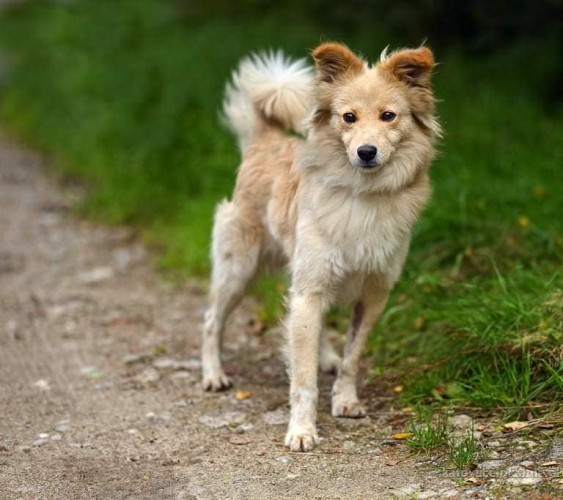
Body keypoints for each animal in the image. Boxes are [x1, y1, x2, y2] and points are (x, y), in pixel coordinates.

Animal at [200, 42, 442, 450]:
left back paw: (325, 355)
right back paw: (213, 374)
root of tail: (265, 139)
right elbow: (302, 377)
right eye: (348, 117)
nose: (366, 151)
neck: (363, 196)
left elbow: (352, 357)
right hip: (239, 268)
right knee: (211, 321)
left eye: (388, 116)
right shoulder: (308, 291)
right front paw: (301, 430)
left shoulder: (373, 294)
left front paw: (345, 399)